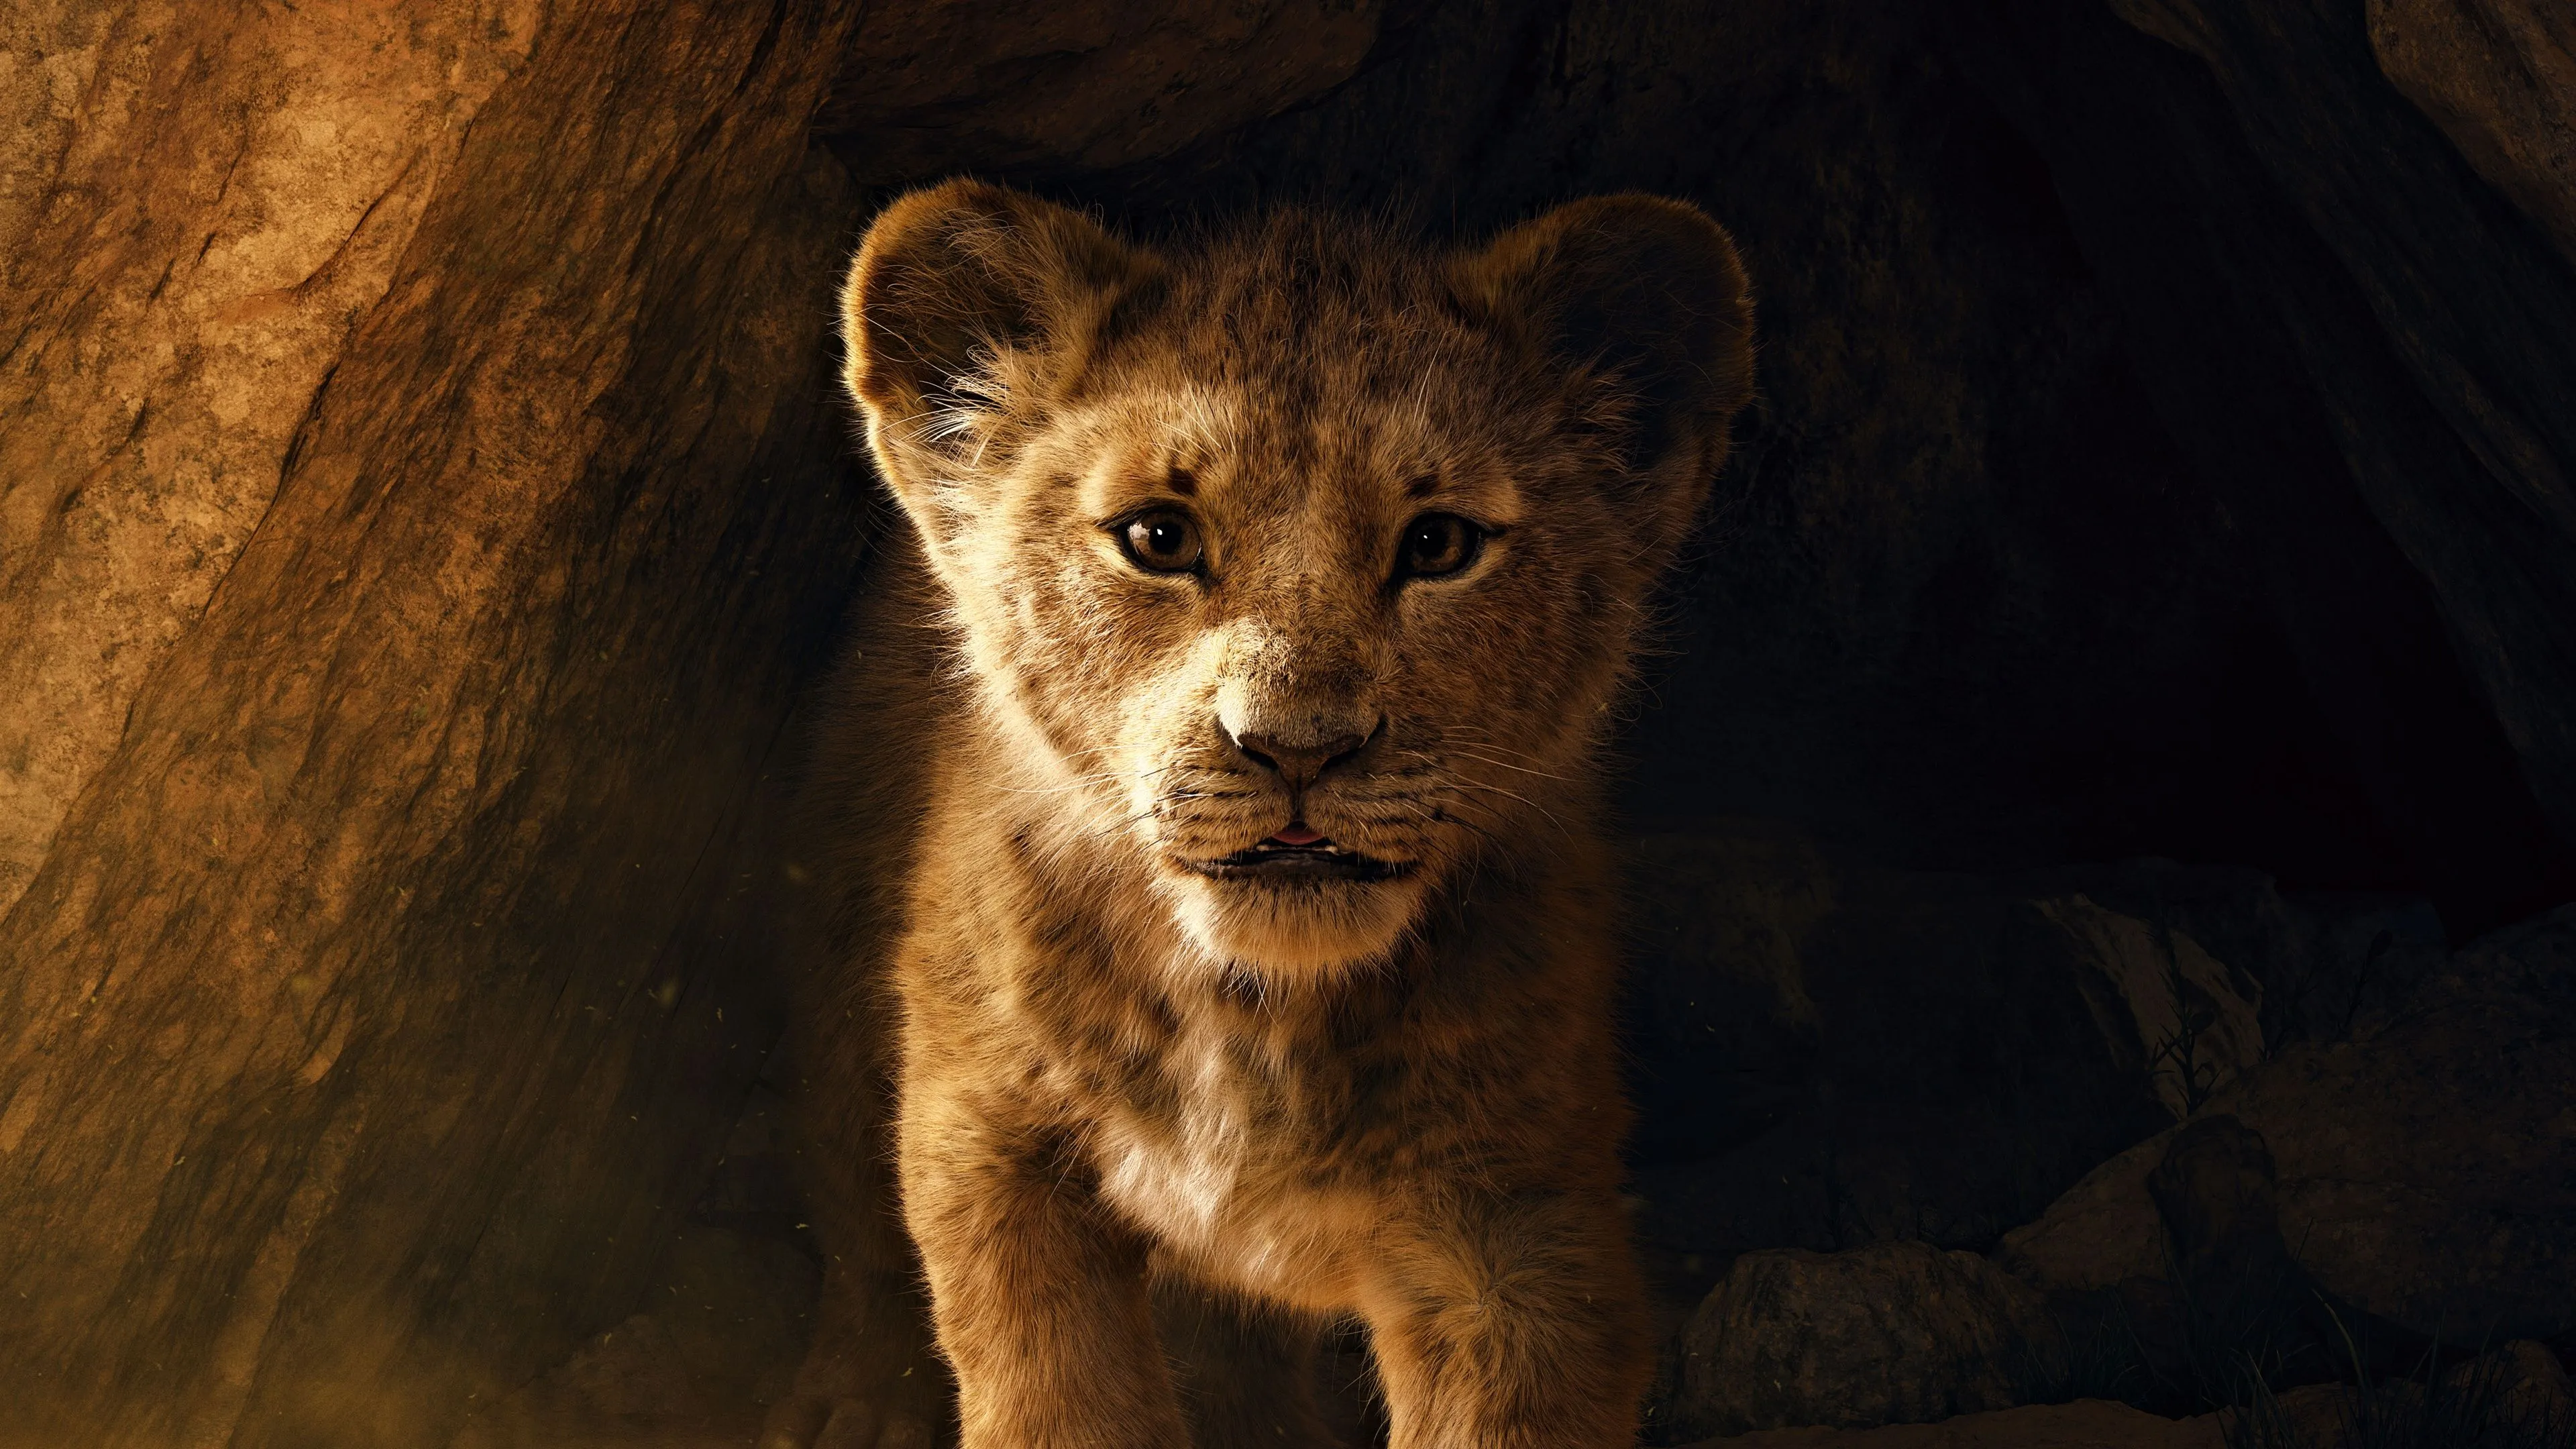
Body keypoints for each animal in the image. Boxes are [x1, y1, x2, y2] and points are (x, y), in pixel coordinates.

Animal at [767, 180, 1755, 1449]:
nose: (1297, 746)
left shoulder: (1520, 1228)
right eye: (1159, 538)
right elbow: (1052, 1393)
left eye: (1439, 544)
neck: (1254, 1020)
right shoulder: (984, 1133)